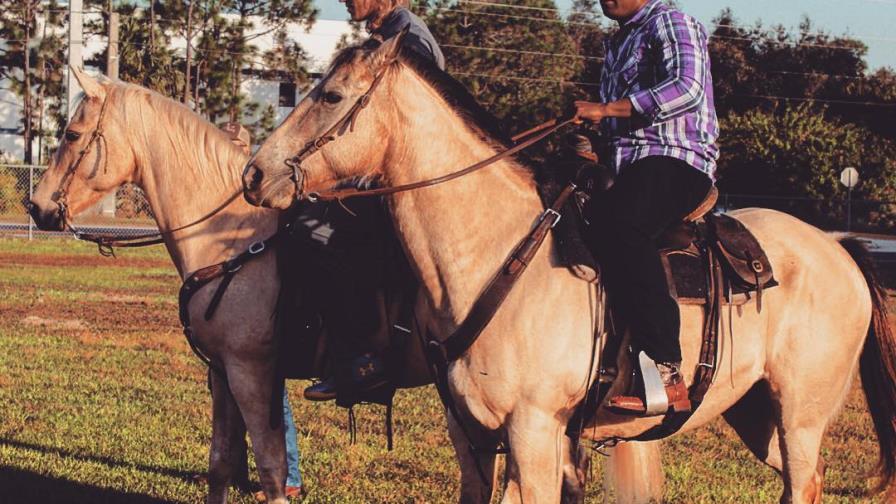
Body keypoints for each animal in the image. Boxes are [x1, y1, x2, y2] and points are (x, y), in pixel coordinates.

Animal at [242, 33, 896, 503]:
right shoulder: (472, 435)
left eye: (330, 96)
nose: (254, 174)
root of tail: (837, 245)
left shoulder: (534, 432)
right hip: (759, 416)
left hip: (801, 414)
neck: (495, 251)